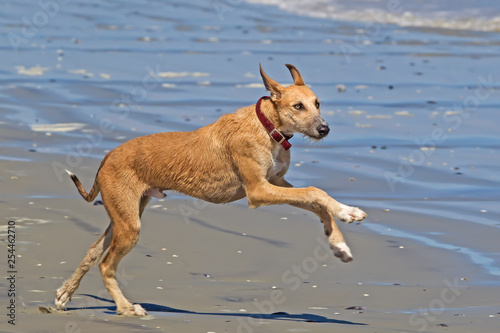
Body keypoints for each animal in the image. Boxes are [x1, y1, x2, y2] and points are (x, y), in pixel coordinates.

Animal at [55, 63, 368, 316]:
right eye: (298, 106)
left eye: (318, 103)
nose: (324, 129)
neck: (266, 126)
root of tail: (107, 157)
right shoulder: (258, 191)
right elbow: (316, 192)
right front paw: (348, 212)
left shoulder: (276, 183)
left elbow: (317, 204)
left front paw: (339, 244)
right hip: (130, 225)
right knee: (106, 265)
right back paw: (125, 308)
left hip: (125, 215)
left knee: (93, 251)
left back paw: (64, 294)